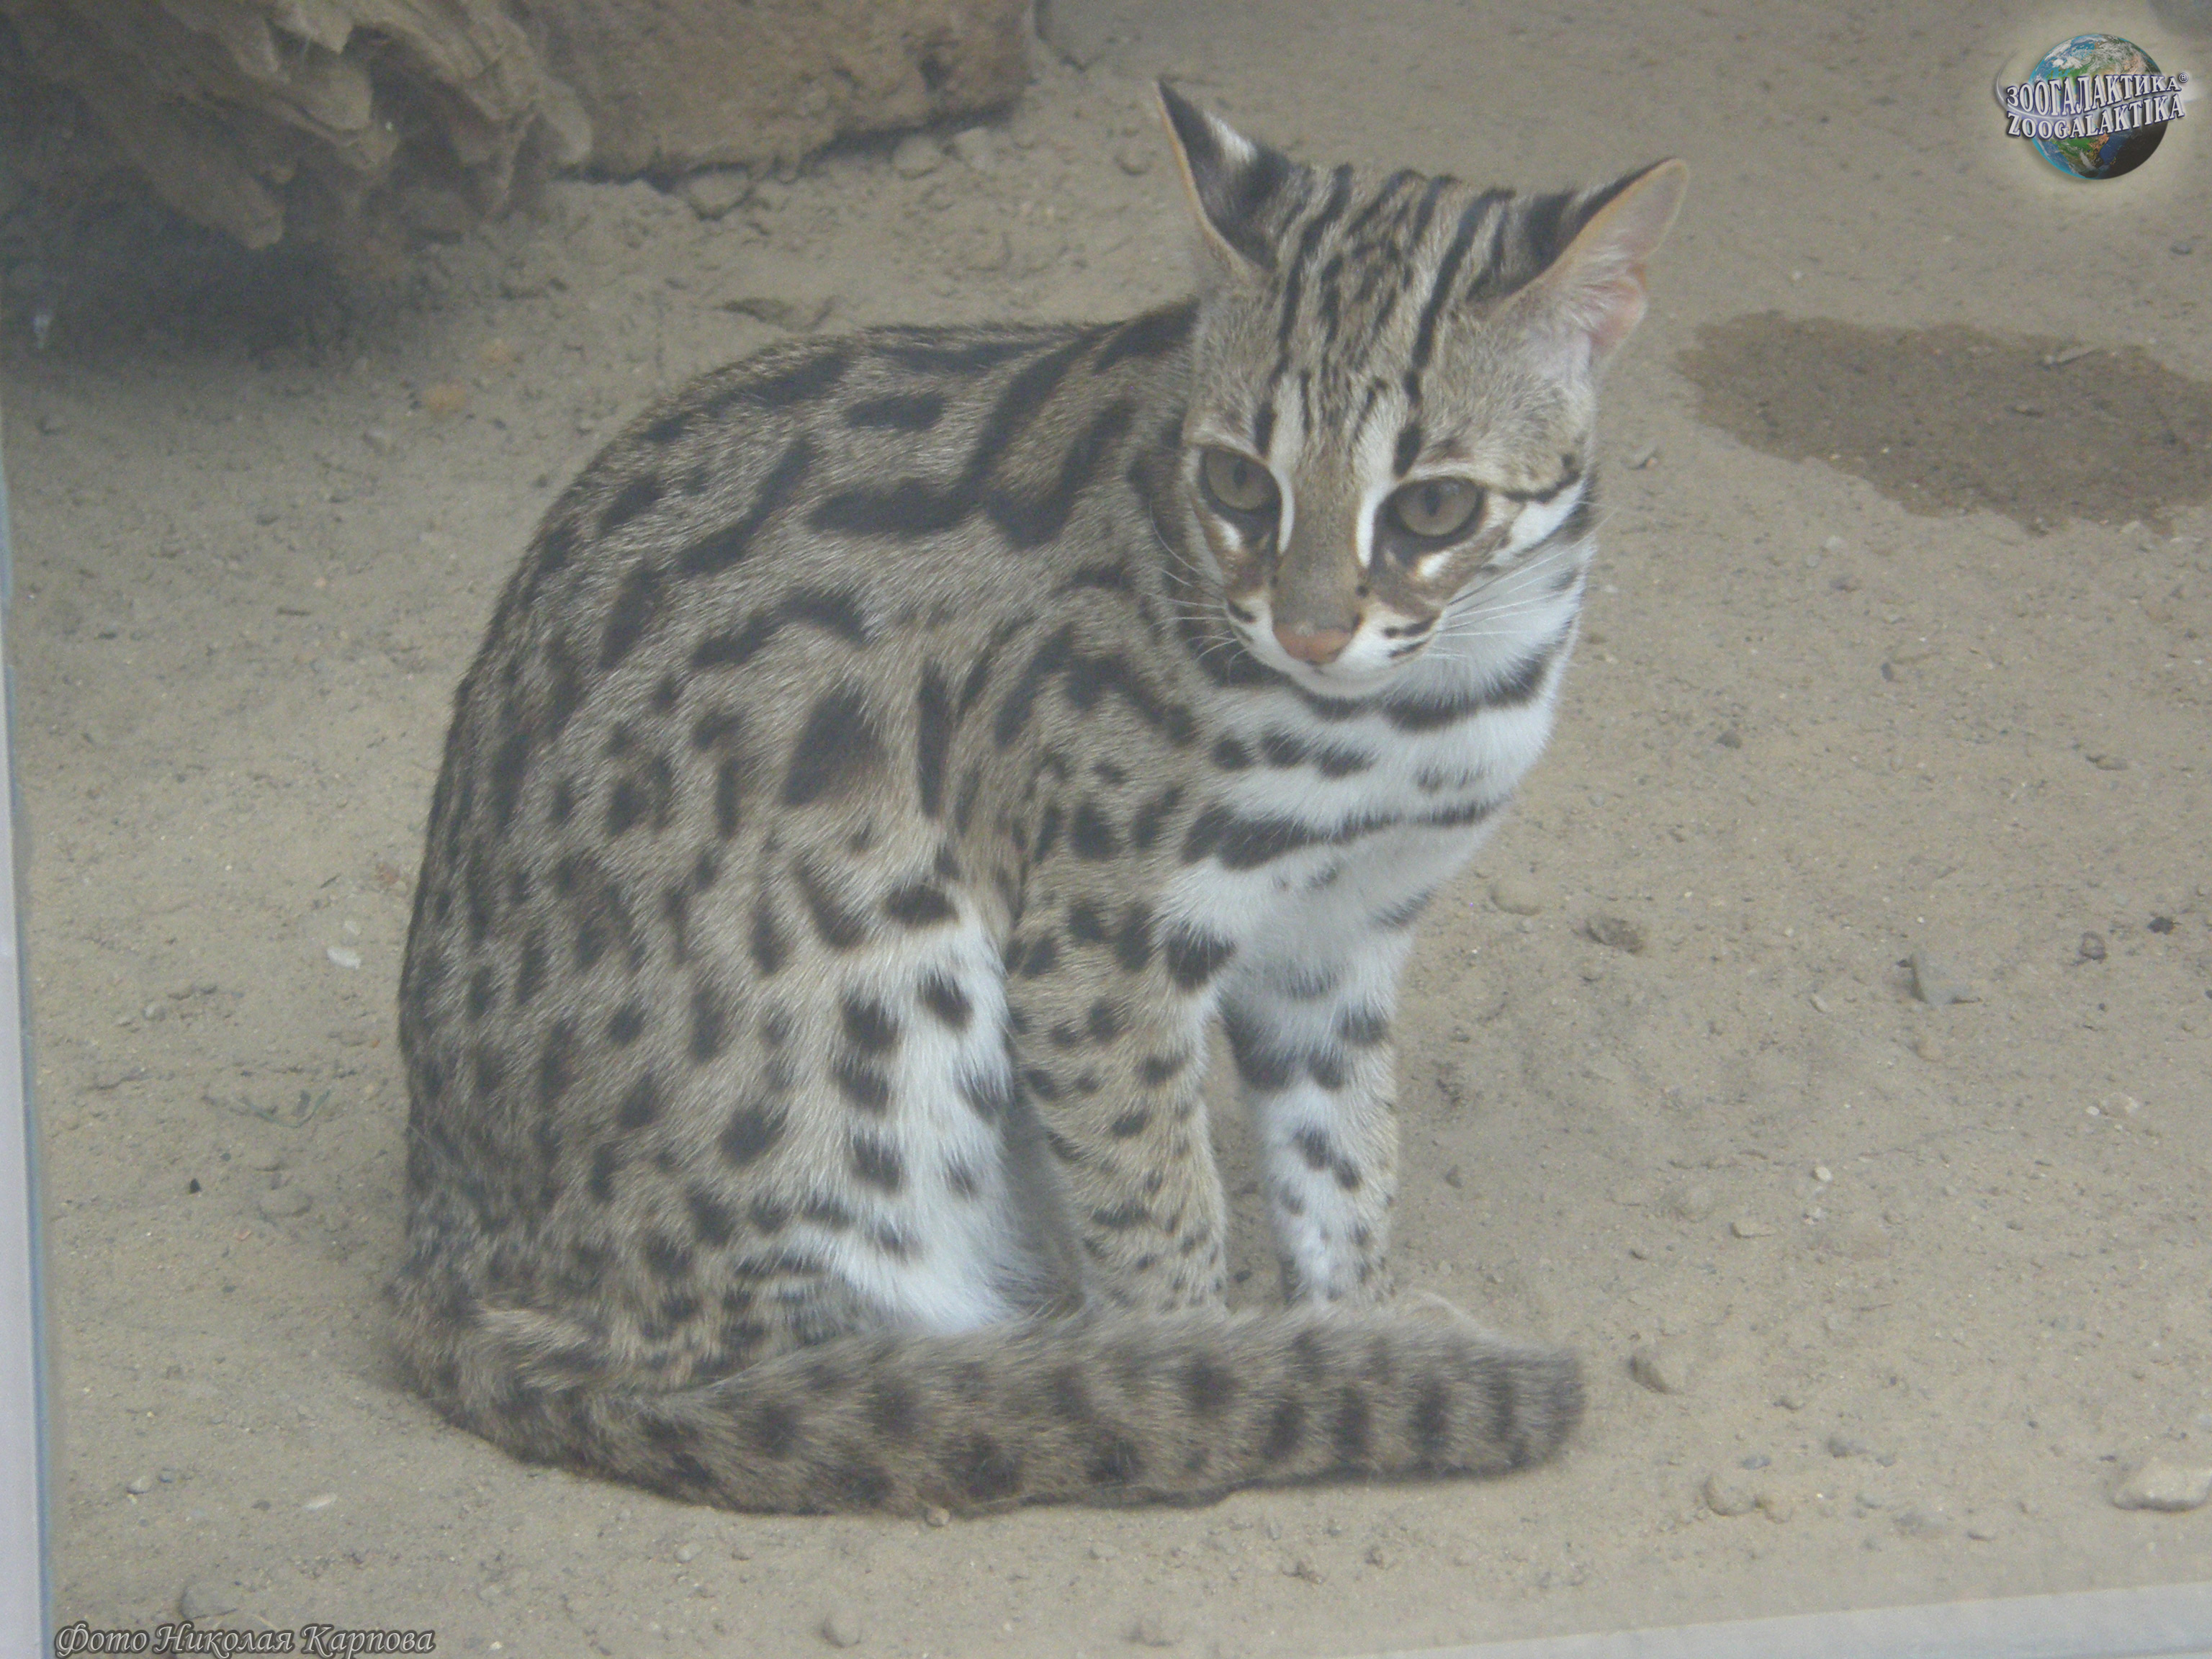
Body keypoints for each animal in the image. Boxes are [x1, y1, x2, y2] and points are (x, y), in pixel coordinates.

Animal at [391, 83, 1685, 1513]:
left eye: (1436, 506)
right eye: (1239, 482)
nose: (1307, 631)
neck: (1435, 702)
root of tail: (436, 1246)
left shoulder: (1340, 935)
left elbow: (1347, 1161)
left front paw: (1351, 1319)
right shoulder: (1095, 945)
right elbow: (1158, 1209)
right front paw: (1223, 1374)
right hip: (881, 981)